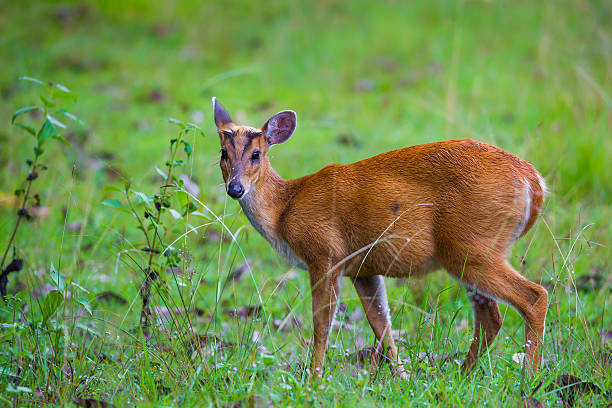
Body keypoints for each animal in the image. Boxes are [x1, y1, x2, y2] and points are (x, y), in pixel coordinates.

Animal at [213, 97, 548, 378]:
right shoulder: (363, 269)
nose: (235, 189)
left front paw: (314, 378)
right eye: (223, 154)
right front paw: (402, 377)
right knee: (491, 317)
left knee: (534, 297)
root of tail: (533, 182)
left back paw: (528, 379)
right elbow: (381, 324)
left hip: (472, 245)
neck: (285, 207)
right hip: (470, 250)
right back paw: (459, 376)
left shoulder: (324, 254)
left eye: (256, 154)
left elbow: (322, 324)